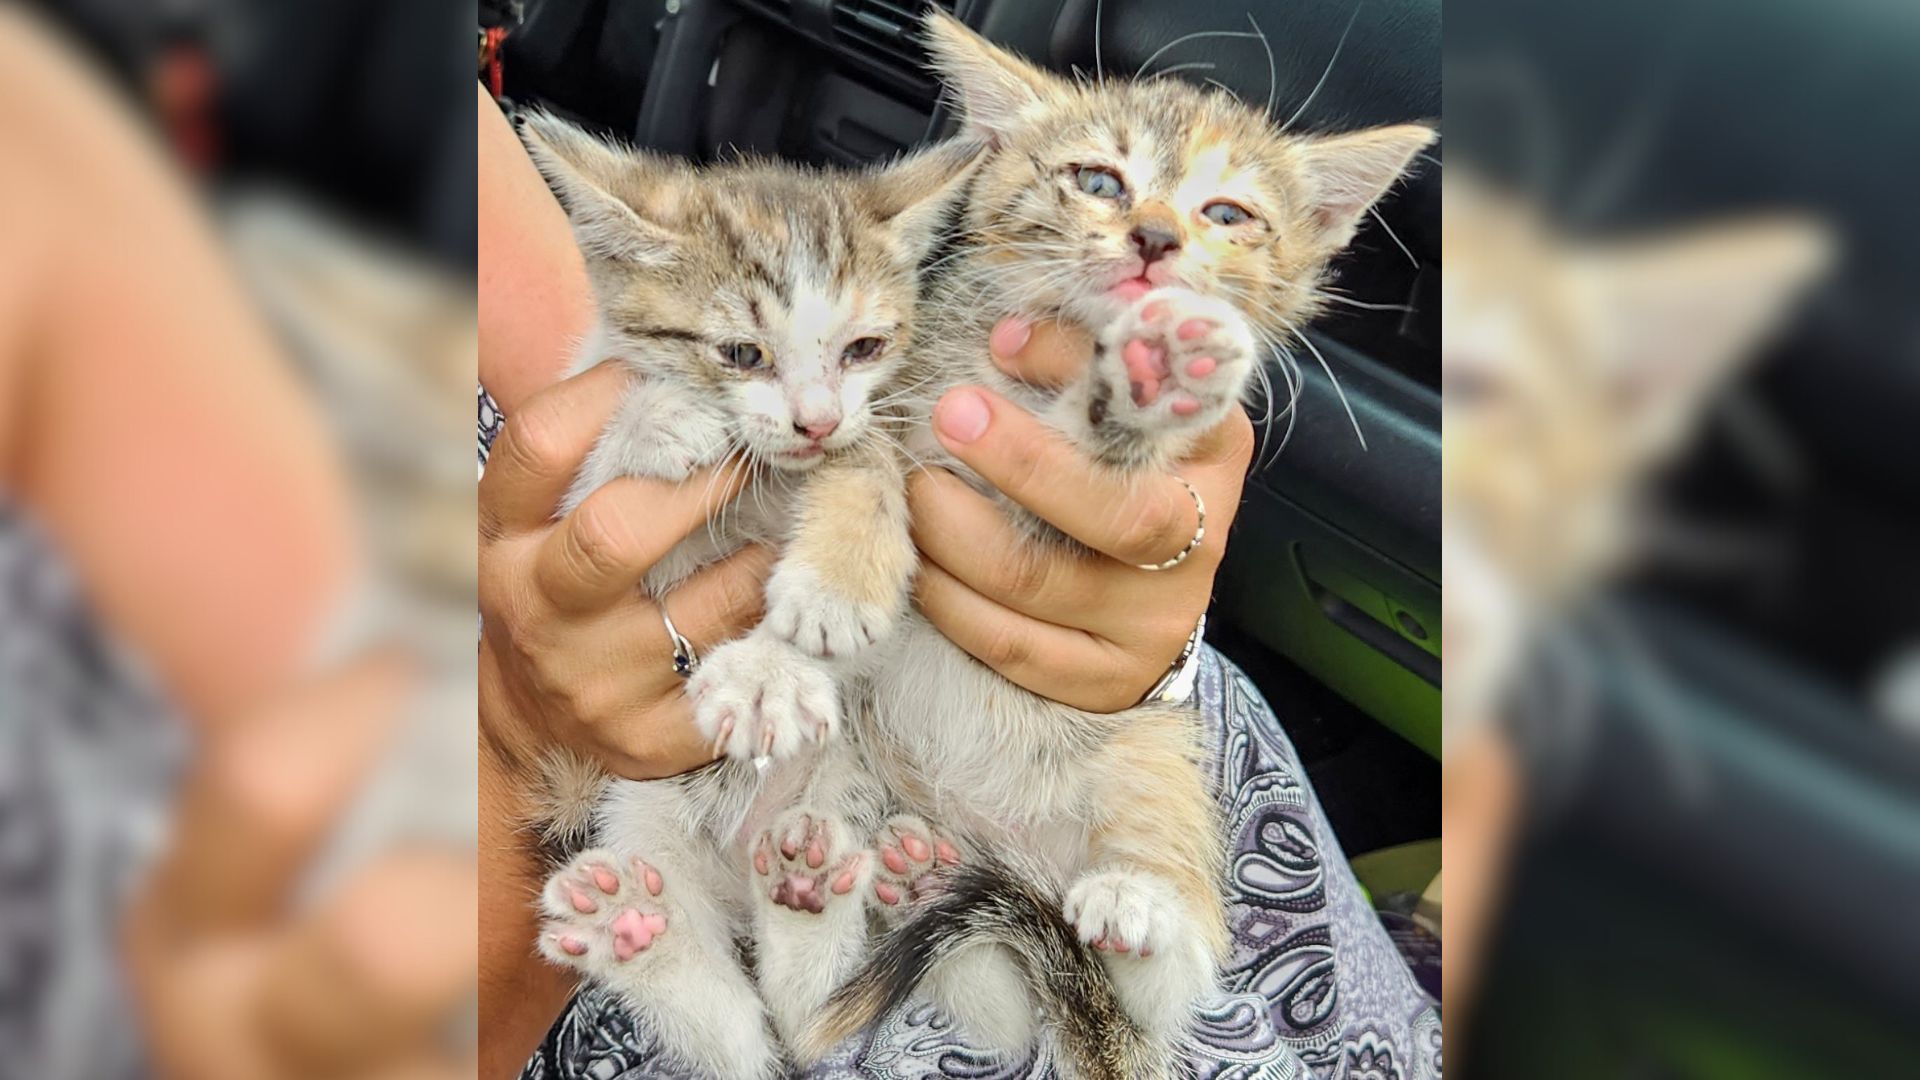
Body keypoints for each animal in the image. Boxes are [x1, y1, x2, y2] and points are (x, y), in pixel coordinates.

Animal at [518, 111, 983, 1076]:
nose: (814, 420)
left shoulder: (875, 430)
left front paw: (789, 649)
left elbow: (870, 466)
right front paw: (659, 416)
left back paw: (812, 889)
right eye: (741, 353)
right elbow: (599, 468)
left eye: (864, 348)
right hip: (640, 813)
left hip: (847, 782)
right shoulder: (576, 501)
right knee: (740, 1041)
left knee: (800, 1018)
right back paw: (632, 930)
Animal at [771, 12, 1436, 1068]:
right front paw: (836, 582)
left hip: (1149, 754)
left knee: (1161, 980)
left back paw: (1132, 902)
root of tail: (983, 833)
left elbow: (1099, 450)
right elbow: (855, 458)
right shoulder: (882, 390)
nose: (1156, 238)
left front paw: (1147, 382)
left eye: (1229, 214)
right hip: (861, 772)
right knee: (886, 999)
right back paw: (863, 878)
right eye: (1097, 180)